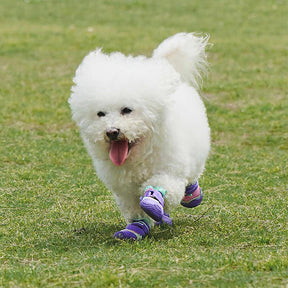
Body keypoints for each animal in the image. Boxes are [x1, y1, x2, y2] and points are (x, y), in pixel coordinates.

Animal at [68, 33, 210, 241]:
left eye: (127, 110)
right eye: (100, 114)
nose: (112, 131)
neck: (139, 156)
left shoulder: (169, 172)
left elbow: (161, 188)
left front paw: (153, 201)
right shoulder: (124, 189)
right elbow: (134, 209)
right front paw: (135, 229)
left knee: (191, 178)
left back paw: (192, 195)